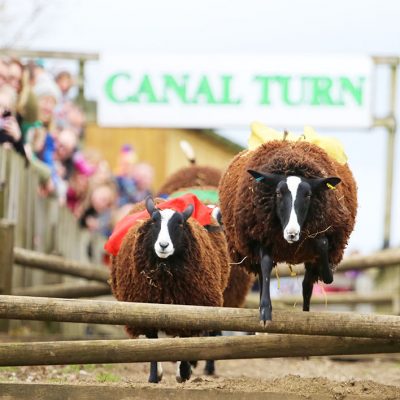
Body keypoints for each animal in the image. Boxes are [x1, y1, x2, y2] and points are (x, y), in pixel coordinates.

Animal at [110, 197, 231, 384]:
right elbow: (153, 342)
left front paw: (184, 372)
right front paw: (154, 376)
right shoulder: (145, 309)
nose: (163, 245)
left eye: (179, 223)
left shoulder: (190, 307)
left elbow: (186, 340)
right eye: (154, 221)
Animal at [220, 139, 358, 324]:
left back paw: (306, 312)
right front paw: (265, 311)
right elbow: (266, 265)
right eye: (278, 193)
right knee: (264, 278)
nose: (292, 233)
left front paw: (326, 272)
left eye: (308, 195)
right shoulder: (262, 237)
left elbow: (324, 257)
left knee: (307, 285)